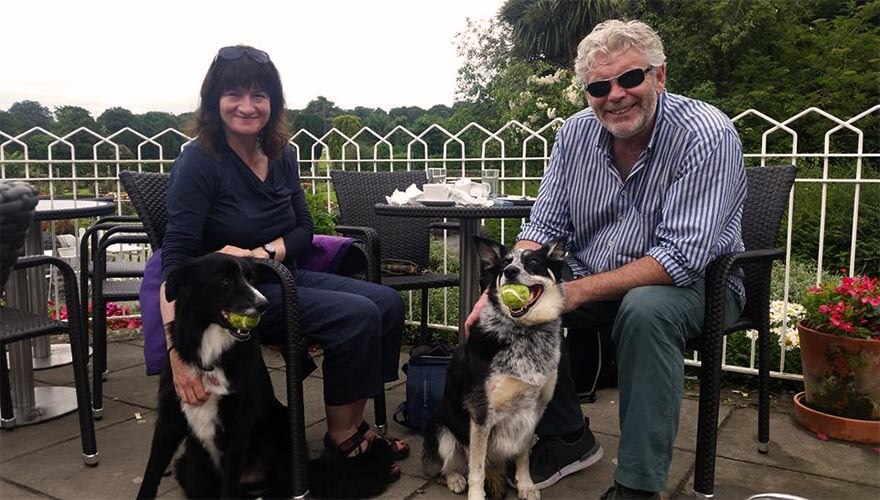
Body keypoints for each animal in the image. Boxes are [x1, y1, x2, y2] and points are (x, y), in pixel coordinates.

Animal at [136, 256, 290, 498]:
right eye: (224, 280)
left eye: (250, 279)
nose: (263, 305)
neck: (210, 353)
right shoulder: (169, 418)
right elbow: (151, 472)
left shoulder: (238, 425)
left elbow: (228, 488)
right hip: (187, 468)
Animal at [422, 237, 568, 500]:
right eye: (505, 264)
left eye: (533, 262)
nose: (511, 271)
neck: (524, 333)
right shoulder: (482, 415)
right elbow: (477, 469)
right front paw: (476, 495)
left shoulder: (534, 411)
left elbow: (523, 456)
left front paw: (525, 485)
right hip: (441, 431)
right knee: (446, 467)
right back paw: (455, 479)